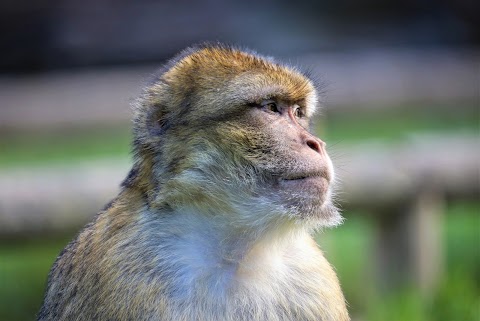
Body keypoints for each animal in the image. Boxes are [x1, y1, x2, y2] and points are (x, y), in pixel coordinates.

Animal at [34, 43, 348, 320]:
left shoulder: (313, 277)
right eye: (271, 108)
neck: (235, 253)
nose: (316, 143)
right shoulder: (113, 264)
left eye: (298, 113)